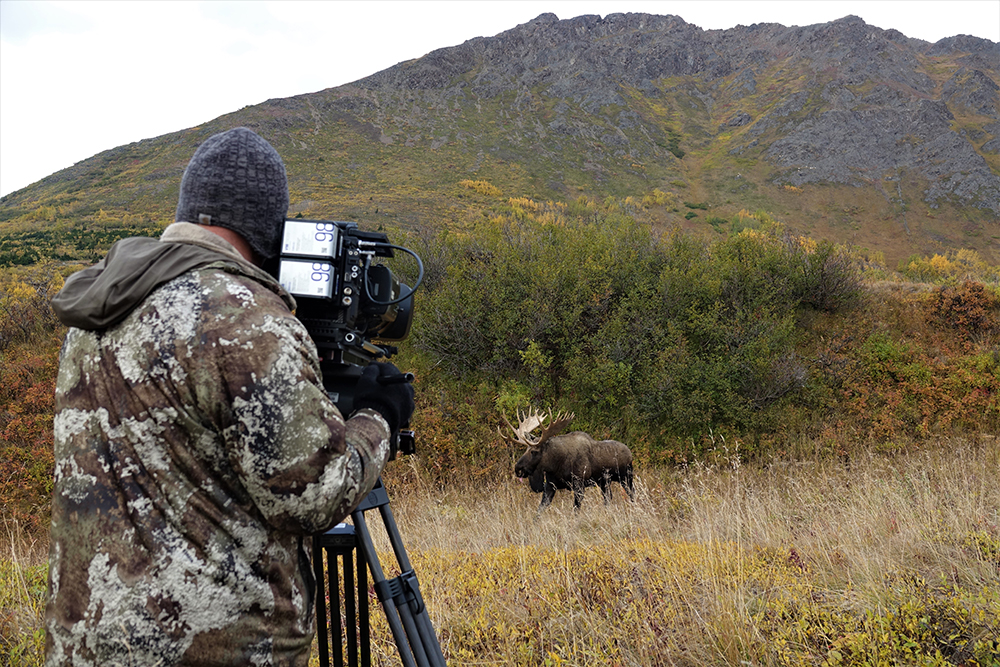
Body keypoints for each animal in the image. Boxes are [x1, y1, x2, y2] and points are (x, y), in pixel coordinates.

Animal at [500, 408, 632, 512]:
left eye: (534, 451)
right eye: (526, 449)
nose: (518, 469)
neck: (556, 465)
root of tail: (629, 452)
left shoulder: (579, 485)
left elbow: (575, 510)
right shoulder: (549, 486)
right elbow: (539, 511)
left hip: (626, 477)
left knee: (631, 494)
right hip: (605, 482)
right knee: (608, 498)